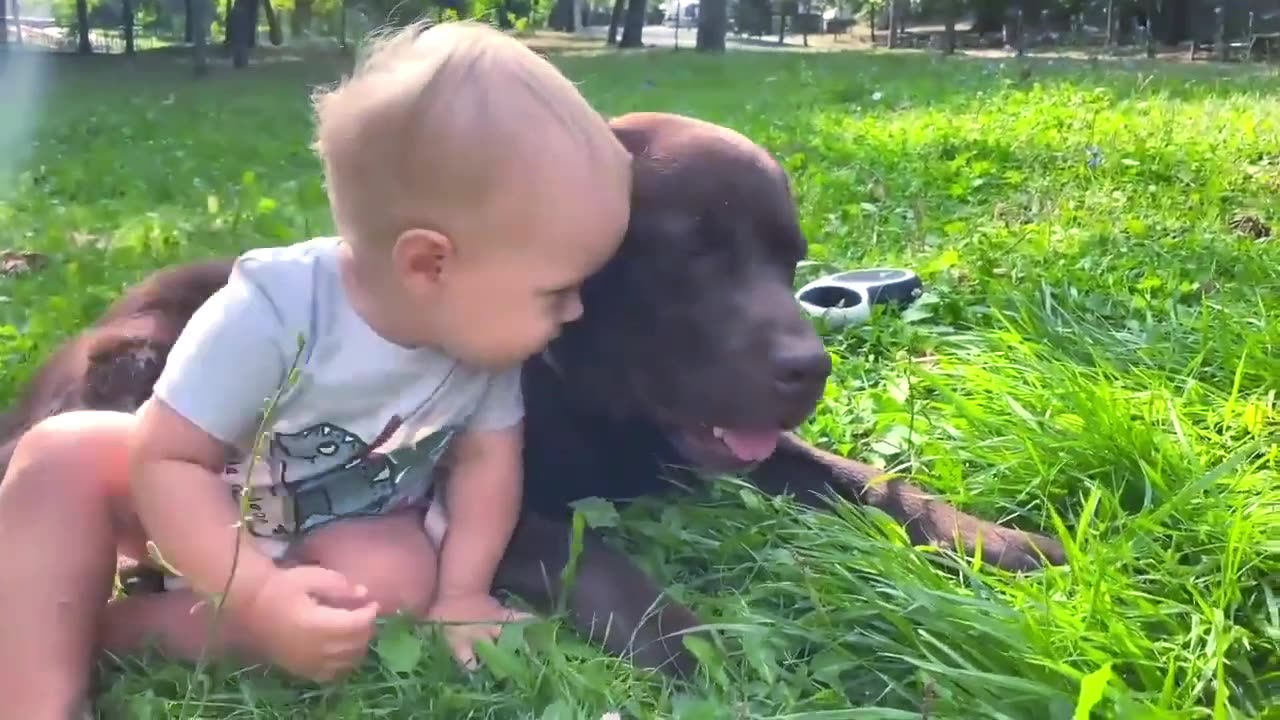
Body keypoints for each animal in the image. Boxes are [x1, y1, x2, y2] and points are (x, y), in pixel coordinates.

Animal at [0, 110, 1064, 671]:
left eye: (789, 260)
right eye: (692, 257)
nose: (811, 366)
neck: (586, 395)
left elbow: (866, 479)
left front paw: (997, 540)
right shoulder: (503, 508)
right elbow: (603, 570)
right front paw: (705, 641)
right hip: (137, 360)